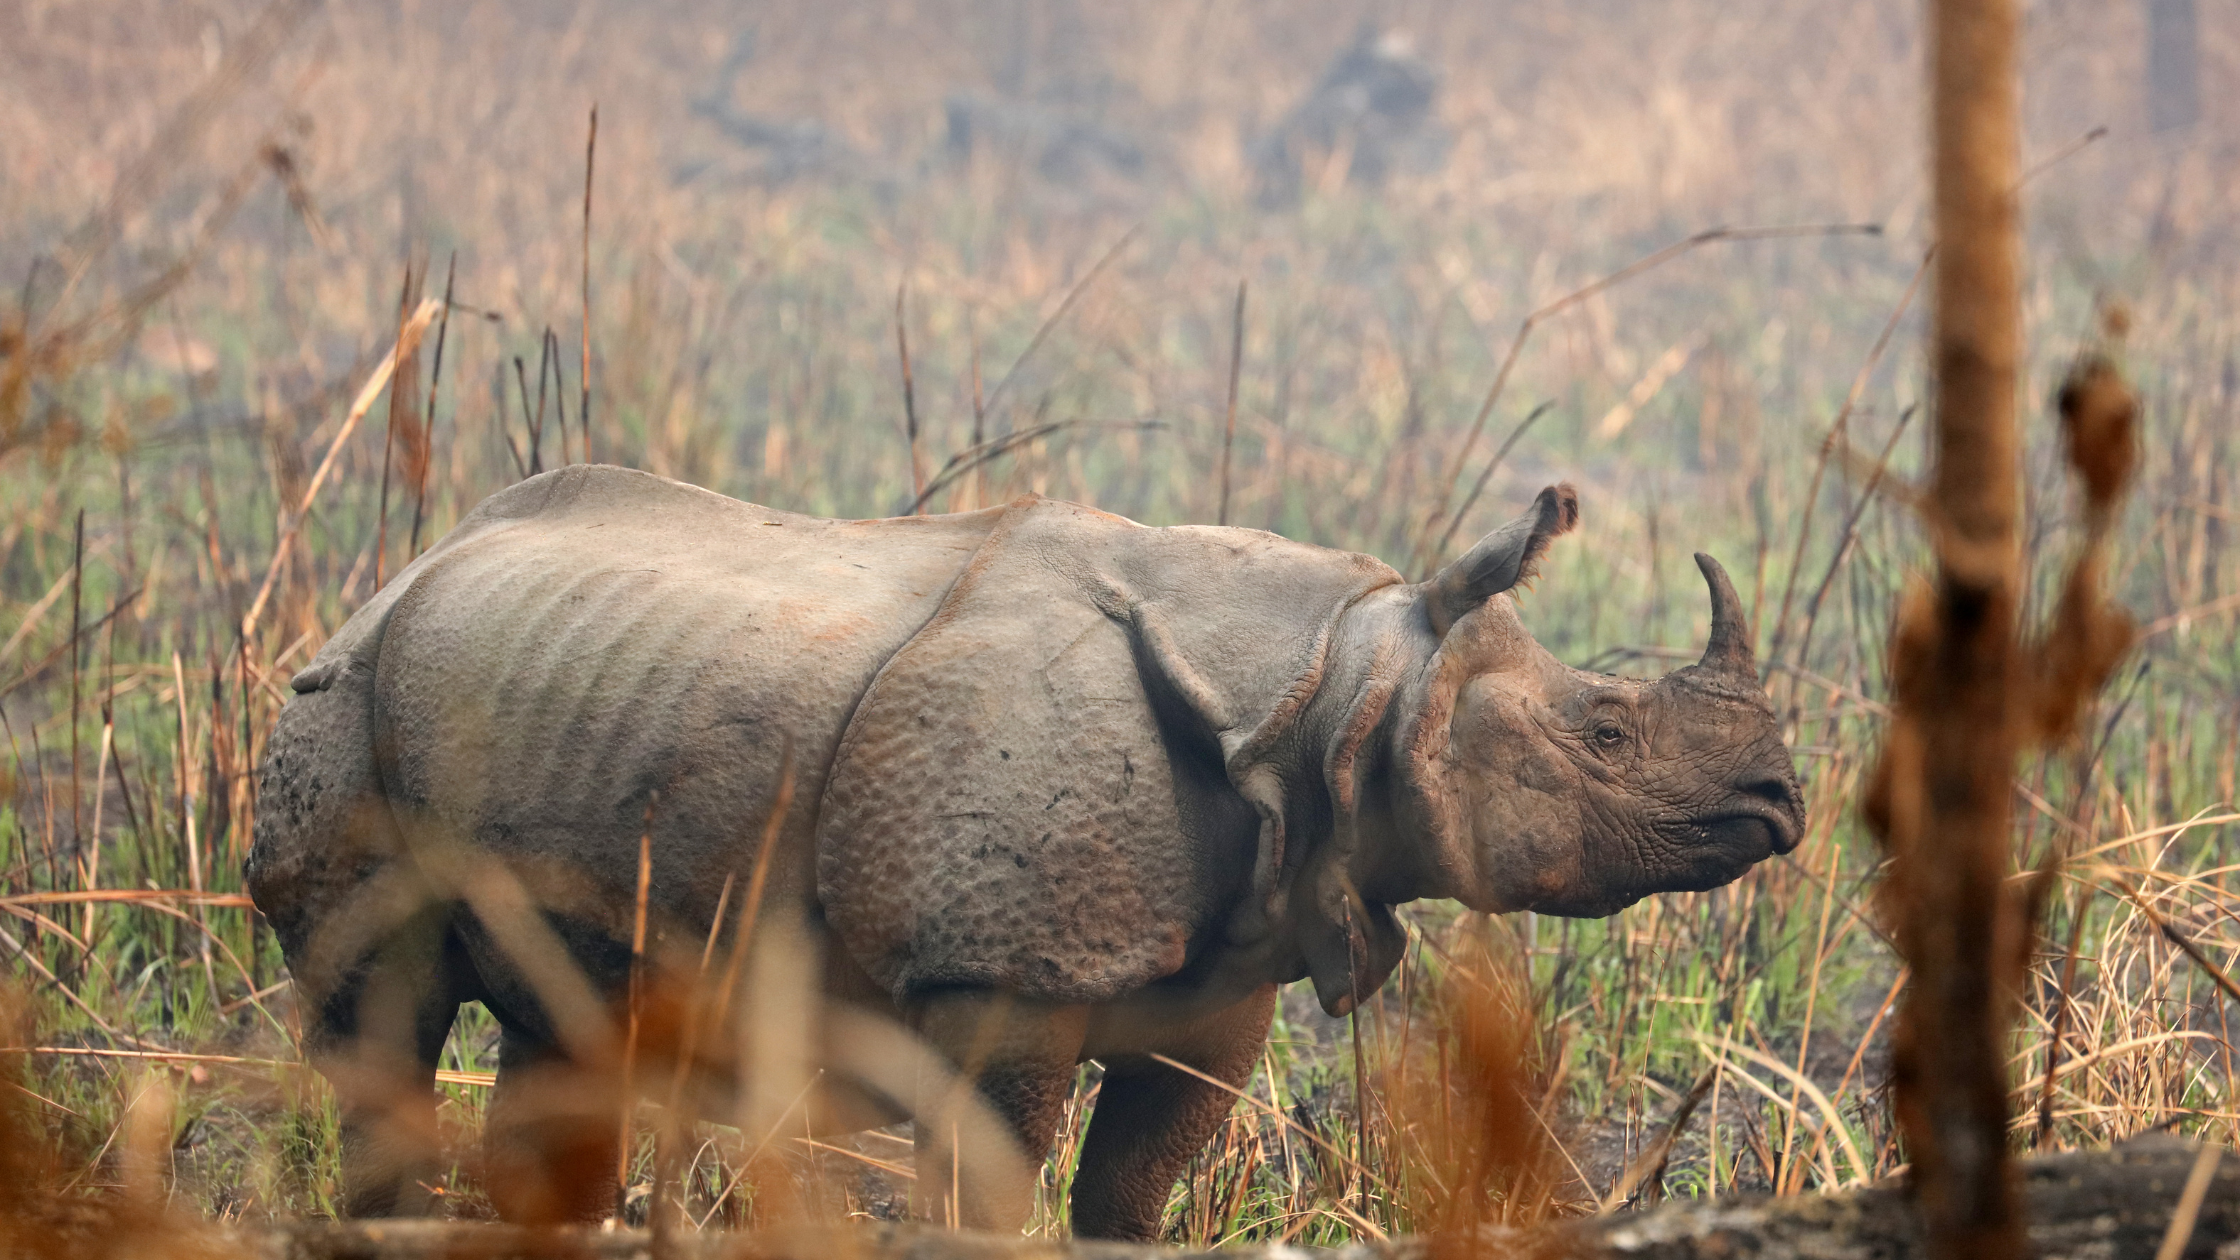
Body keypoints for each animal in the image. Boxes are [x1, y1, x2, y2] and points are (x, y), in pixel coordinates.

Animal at [248, 465, 1803, 1237]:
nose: (1782, 801)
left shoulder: (1222, 978)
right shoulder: (993, 971)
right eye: (1607, 730)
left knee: (562, 1025)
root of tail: (401, 575)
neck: (1339, 685)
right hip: (342, 702)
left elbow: (1133, 1191)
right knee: (383, 1011)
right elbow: (995, 1188)